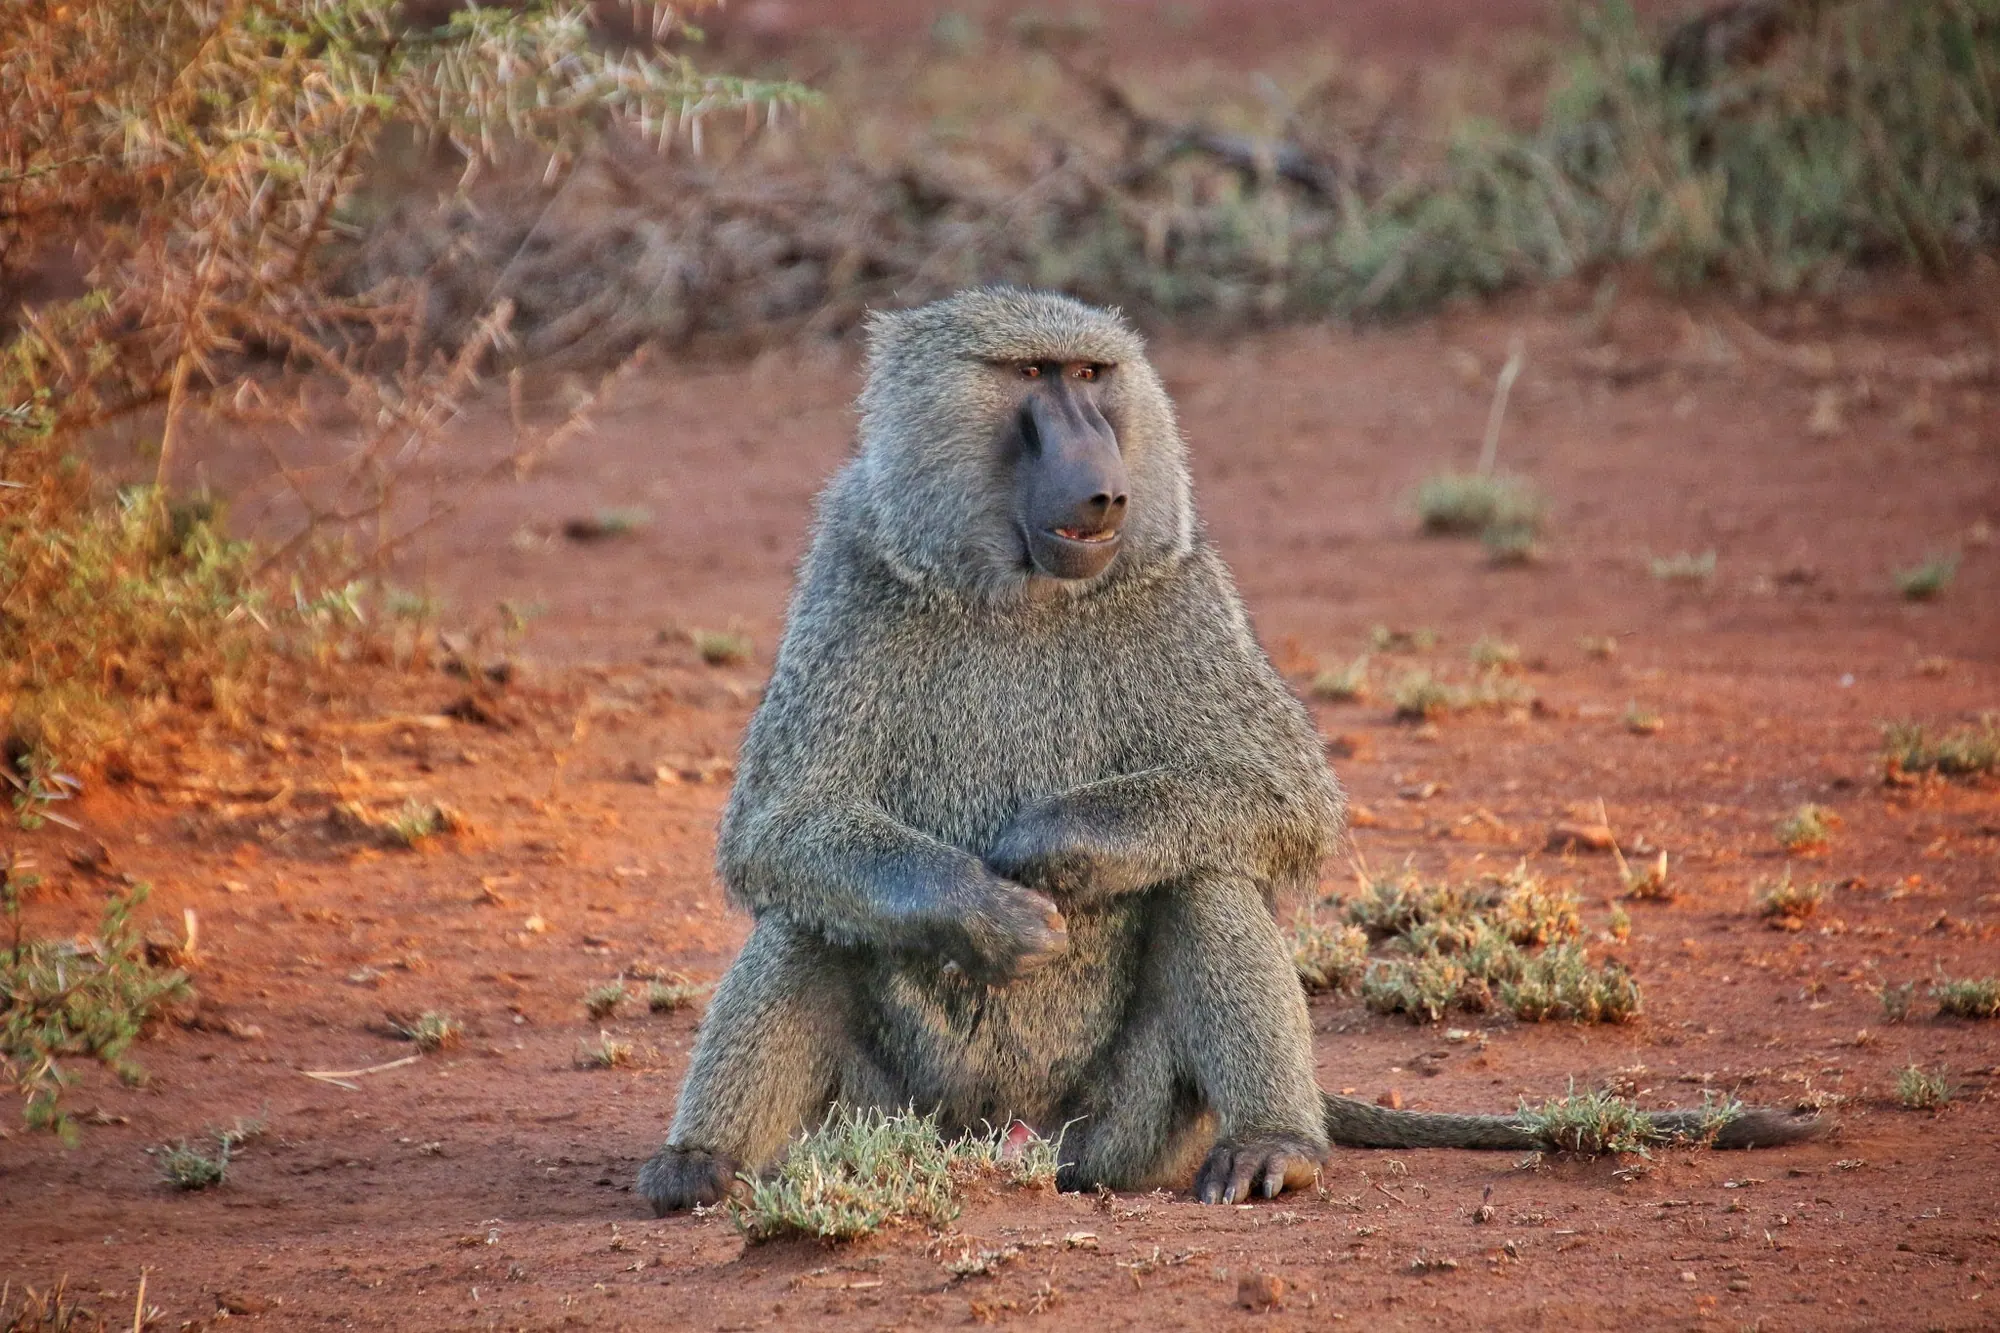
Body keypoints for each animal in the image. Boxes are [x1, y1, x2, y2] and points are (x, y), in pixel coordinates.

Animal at [637, 288, 1825, 1216]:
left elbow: (1280, 794)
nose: (1102, 480)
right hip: (897, 1118)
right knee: (809, 911)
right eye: (1030, 375)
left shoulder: (1180, 578)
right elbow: (779, 827)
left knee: (1200, 872)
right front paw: (987, 911)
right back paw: (701, 1164)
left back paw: (1275, 1146)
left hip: (1124, 1138)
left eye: (1093, 374)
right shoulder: (852, 560)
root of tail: (1006, 1144)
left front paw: (1052, 848)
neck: (1017, 590)